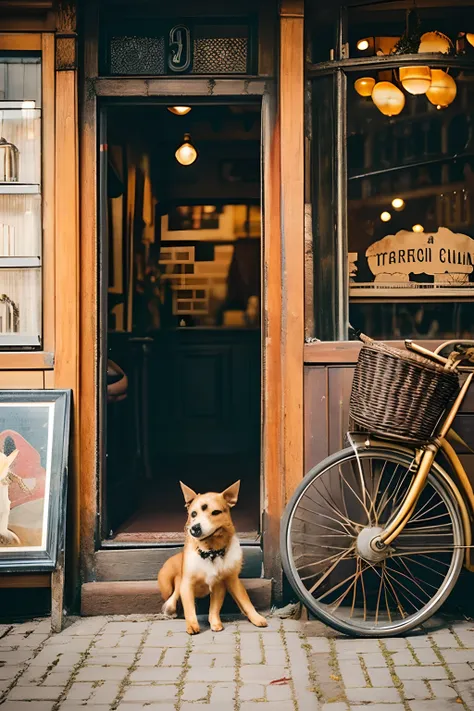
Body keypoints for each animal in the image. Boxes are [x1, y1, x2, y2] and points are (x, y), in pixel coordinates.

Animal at [156, 482, 264, 636]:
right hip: (167, 584)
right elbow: (189, 608)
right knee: (173, 594)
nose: (195, 528)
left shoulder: (224, 583)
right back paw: (169, 608)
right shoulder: (187, 584)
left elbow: (226, 604)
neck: (211, 551)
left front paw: (216, 622)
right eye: (193, 514)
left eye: (216, 512)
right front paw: (192, 625)